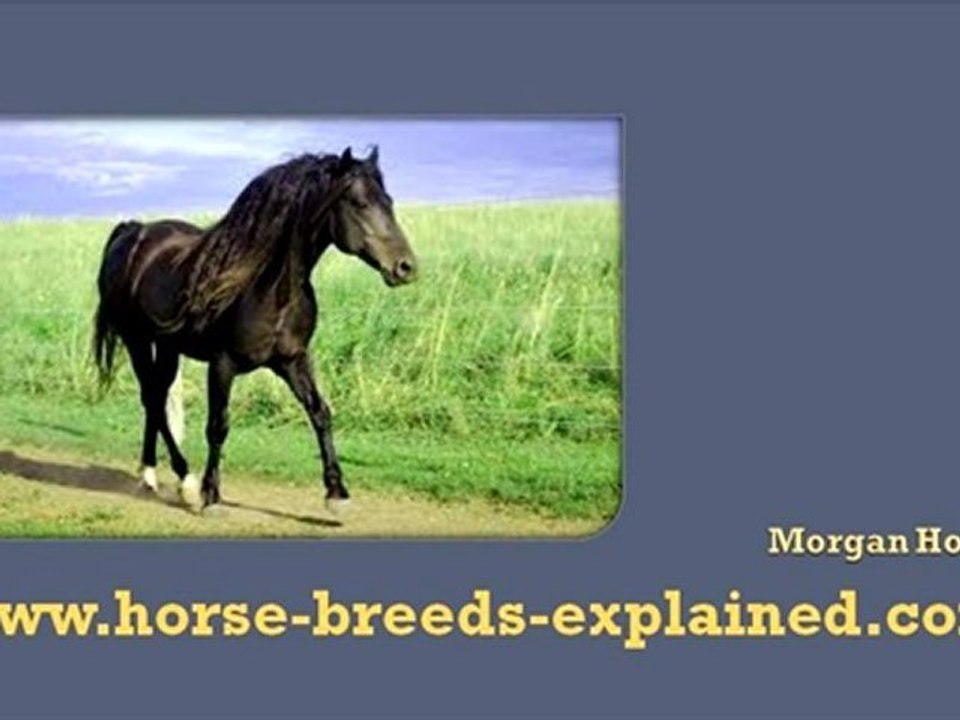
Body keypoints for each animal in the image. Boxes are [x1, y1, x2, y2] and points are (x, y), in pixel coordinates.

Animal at [92, 147, 418, 515]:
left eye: (388, 201)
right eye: (360, 203)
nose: (406, 267)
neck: (266, 286)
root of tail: (133, 232)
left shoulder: (293, 360)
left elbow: (320, 413)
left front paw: (337, 494)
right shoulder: (222, 365)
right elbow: (218, 426)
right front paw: (211, 496)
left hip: (167, 347)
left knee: (156, 398)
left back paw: (153, 475)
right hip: (136, 340)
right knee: (152, 398)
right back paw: (183, 480)